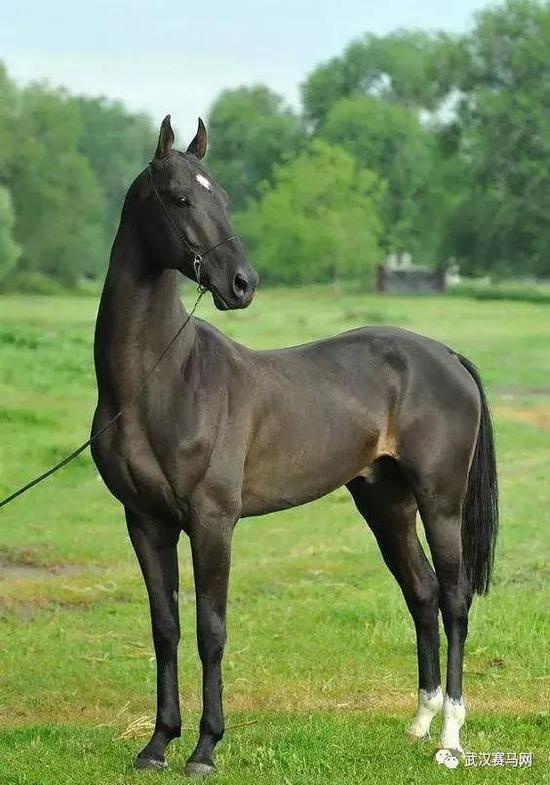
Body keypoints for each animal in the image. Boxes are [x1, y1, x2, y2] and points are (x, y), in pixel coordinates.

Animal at [91, 115, 498, 776]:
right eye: (179, 198)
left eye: (224, 196)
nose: (242, 284)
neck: (162, 380)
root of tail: (445, 355)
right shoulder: (145, 521)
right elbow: (165, 627)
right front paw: (156, 745)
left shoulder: (212, 521)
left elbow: (210, 630)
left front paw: (204, 748)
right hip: (385, 503)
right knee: (423, 594)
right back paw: (419, 722)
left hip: (441, 502)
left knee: (455, 599)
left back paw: (450, 737)